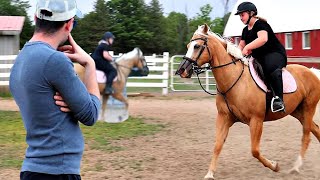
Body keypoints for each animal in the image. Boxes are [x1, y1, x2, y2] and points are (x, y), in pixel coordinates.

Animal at [176, 24, 320, 180]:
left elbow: (254, 151)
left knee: (306, 135)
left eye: (196, 46)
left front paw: (274, 166)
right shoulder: (224, 118)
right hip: (297, 112)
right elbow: (218, 145)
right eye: (188, 46)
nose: (181, 70)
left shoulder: (256, 120)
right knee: (315, 129)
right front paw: (209, 174)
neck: (234, 80)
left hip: (308, 108)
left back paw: (296, 167)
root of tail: (312, 72)